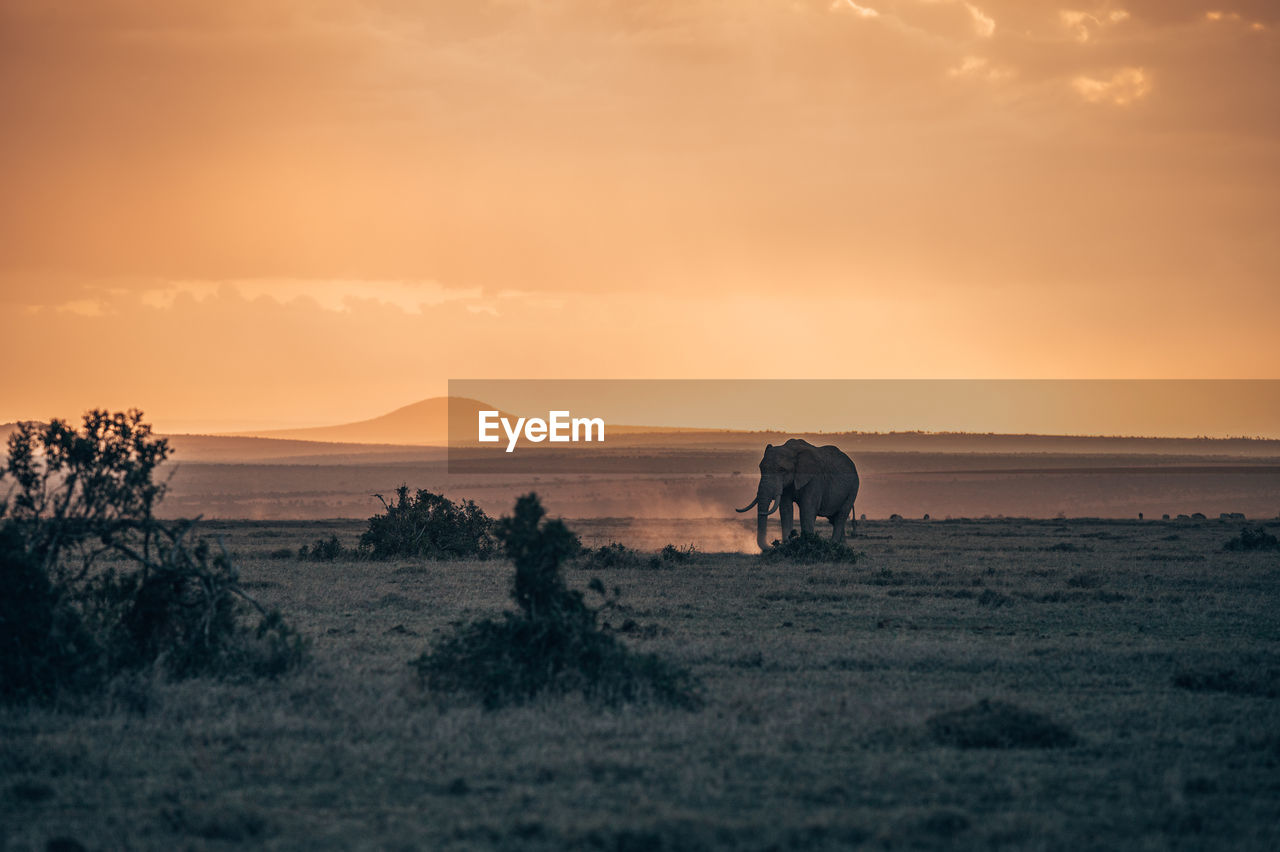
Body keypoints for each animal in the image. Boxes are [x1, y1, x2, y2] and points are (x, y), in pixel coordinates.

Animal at [732, 437, 860, 550]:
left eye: (782, 470)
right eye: (761, 468)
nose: (774, 544)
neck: (791, 450)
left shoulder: (814, 479)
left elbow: (807, 509)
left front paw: (807, 545)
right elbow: (786, 509)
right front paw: (788, 544)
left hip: (853, 488)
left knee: (841, 515)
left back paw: (833, 545)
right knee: (833, 518)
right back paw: (841, 546)